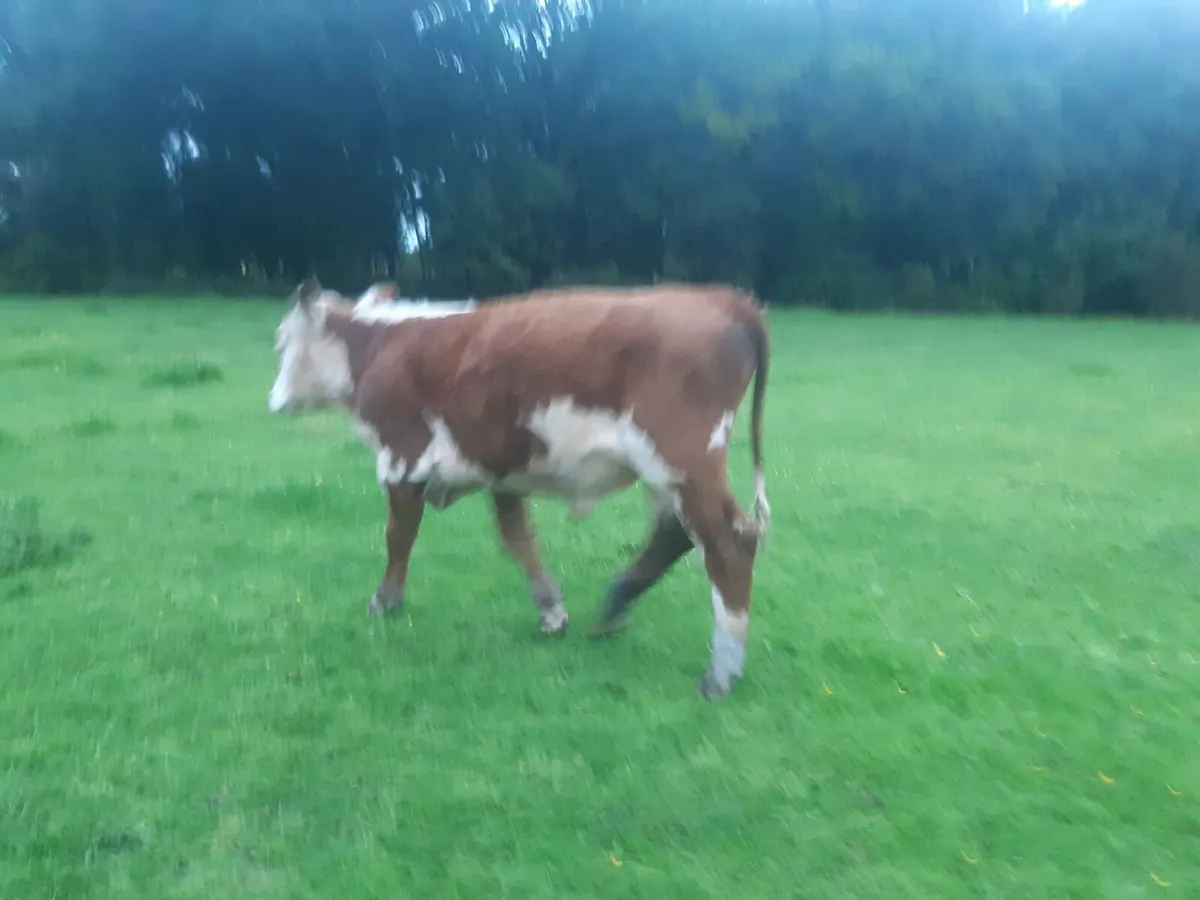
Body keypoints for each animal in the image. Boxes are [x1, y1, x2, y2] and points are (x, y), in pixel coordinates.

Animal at [267, 276, 771, 698]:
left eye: (282, 342)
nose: (273, 400)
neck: (377, 344)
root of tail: (720, 298)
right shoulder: (501, 468)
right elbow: (518, 538)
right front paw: (551, 609)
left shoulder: (402, 458)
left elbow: (398, 537)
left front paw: (385, 601)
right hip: (666, 471)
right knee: (674, 534)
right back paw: (615, 604)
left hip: (683, 461)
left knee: (730, 542)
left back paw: (721, 671)